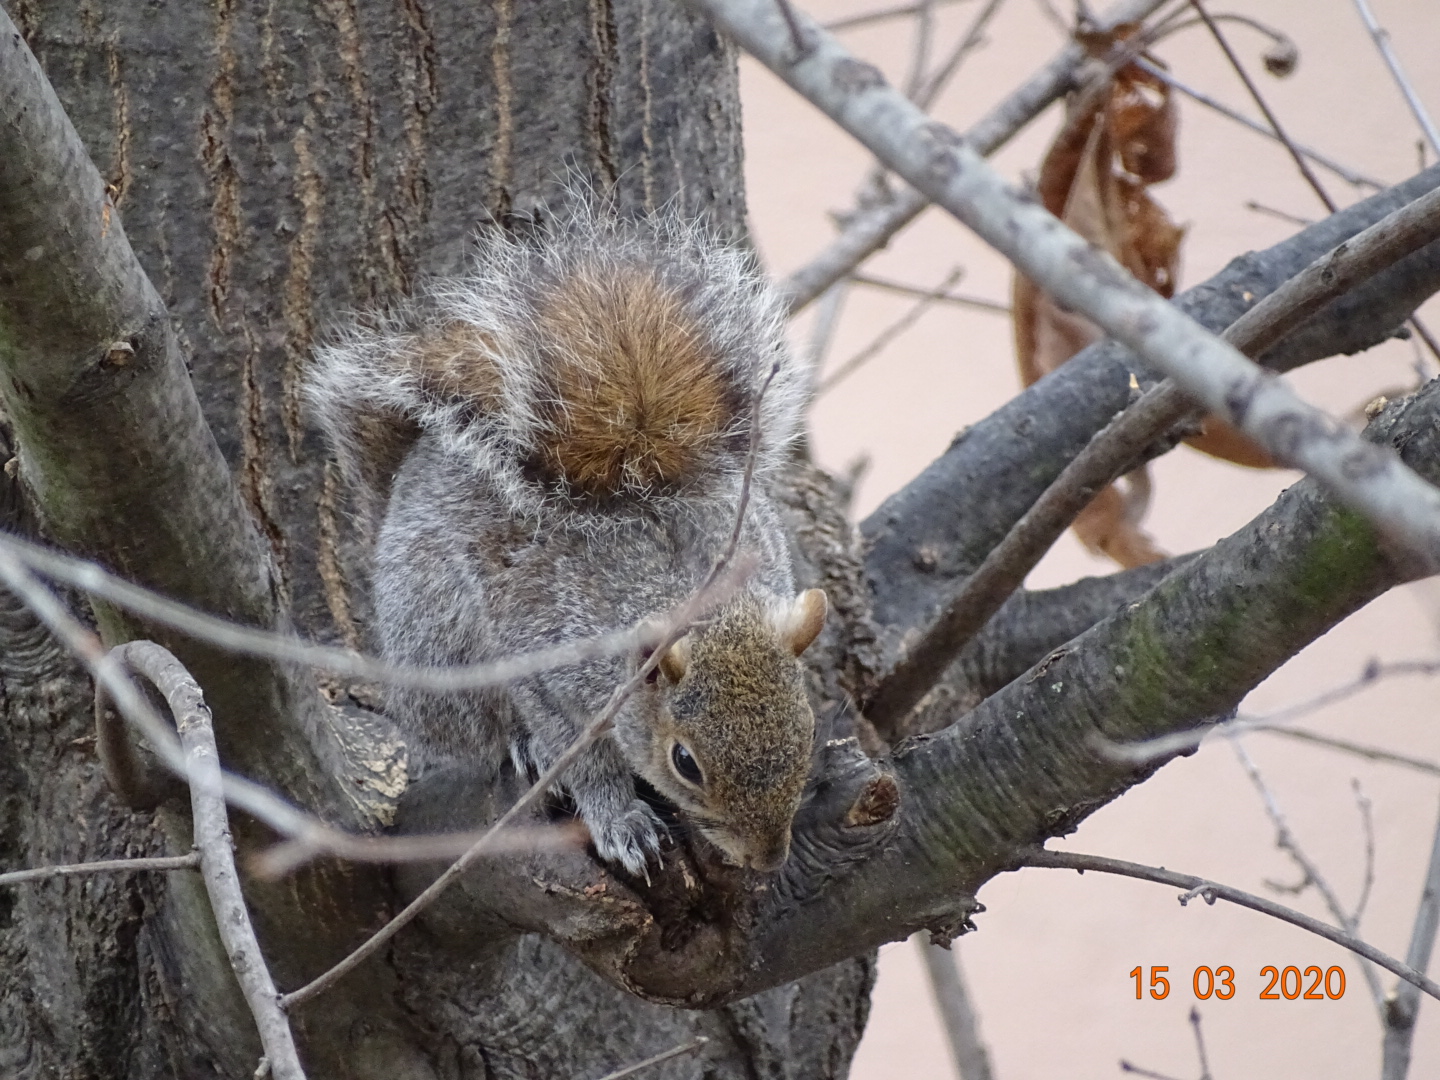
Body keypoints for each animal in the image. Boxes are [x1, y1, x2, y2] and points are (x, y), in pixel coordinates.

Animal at [305, 208, 827, 876]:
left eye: (807, 729)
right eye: (686, 762)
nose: (765, 859)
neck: (701, 600)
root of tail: (399, 490)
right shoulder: (548, 671)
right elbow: (580, 757)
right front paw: (621, 822)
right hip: (441, 642)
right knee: (476, 731)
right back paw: (516, 745)